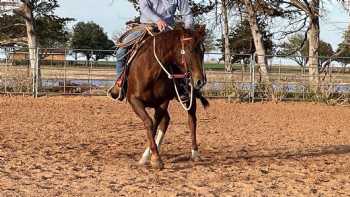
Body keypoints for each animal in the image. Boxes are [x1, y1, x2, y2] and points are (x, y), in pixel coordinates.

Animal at [110, 25, 208, 169]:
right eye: (189, 49)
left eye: (203, 51)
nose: (200, 81)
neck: (151, 70)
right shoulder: (134, 101)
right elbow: (149, 123)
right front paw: (153, 156)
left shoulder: (162, 102)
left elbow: (154, 124)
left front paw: (153, 157)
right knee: (166, 120)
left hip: (190, 97)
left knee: (191, 121)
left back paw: (195, 153)